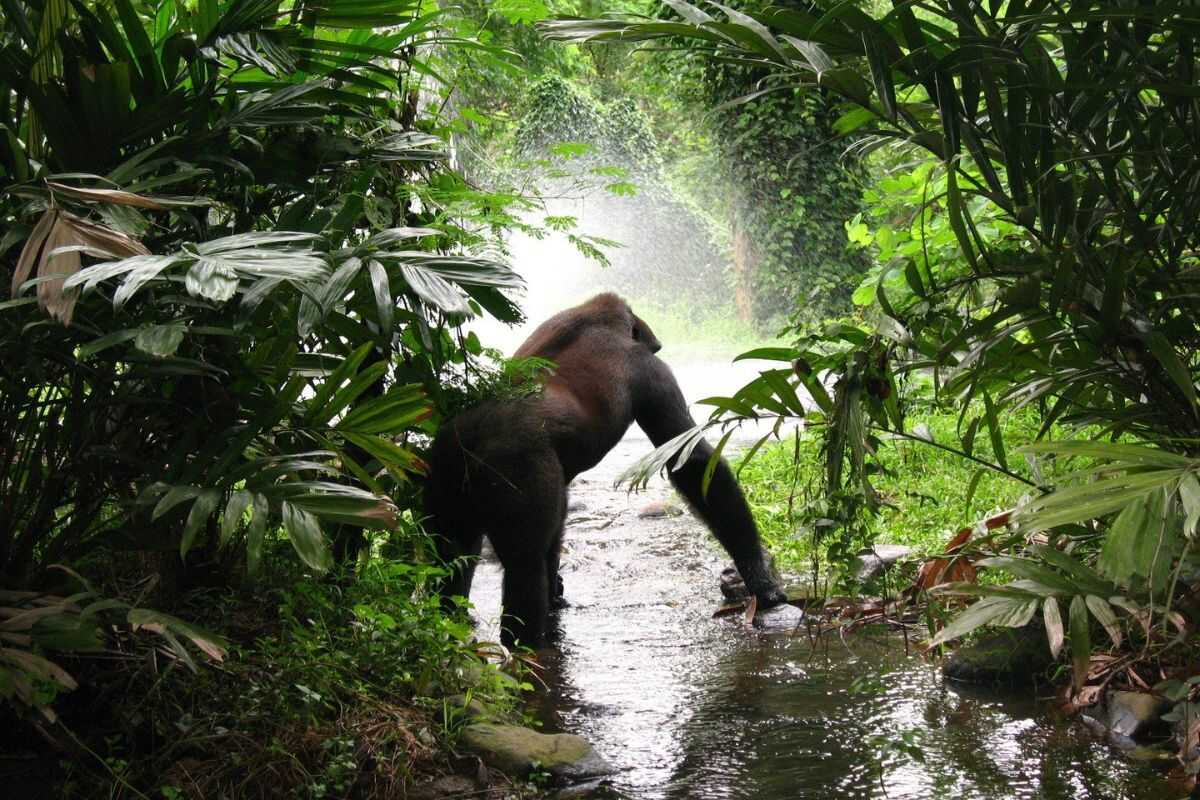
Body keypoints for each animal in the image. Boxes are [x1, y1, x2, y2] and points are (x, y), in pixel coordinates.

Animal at [425, 293, 787, 647]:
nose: (657, 344)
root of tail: (470, 436)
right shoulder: (650, 370)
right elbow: (693, 462)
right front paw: (759, 577)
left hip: (442, 465)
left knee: (452, 553)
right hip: (512, 465)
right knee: (524, 565)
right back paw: (527, 645)